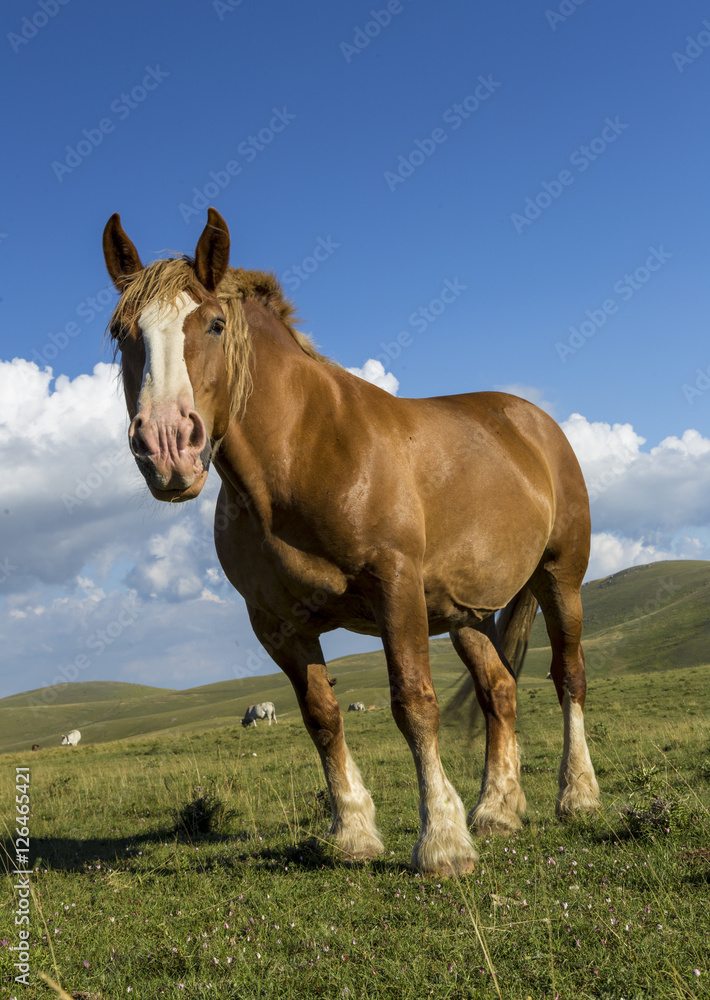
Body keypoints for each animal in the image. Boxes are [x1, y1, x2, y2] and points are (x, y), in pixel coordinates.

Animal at [102, 207, 600, 876]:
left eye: (213, 324)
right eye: (120, 333)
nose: (166, 447)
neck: (304, 452)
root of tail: (533, 421)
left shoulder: (395, 590)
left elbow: (413, 703)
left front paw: (441, 843)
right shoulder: (277, 624)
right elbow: (321, 716)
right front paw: (355, 833)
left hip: (558, 580)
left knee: (568, 675)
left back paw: (578, 795)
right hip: (464, 613)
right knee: (499, 690)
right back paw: (496, 809)